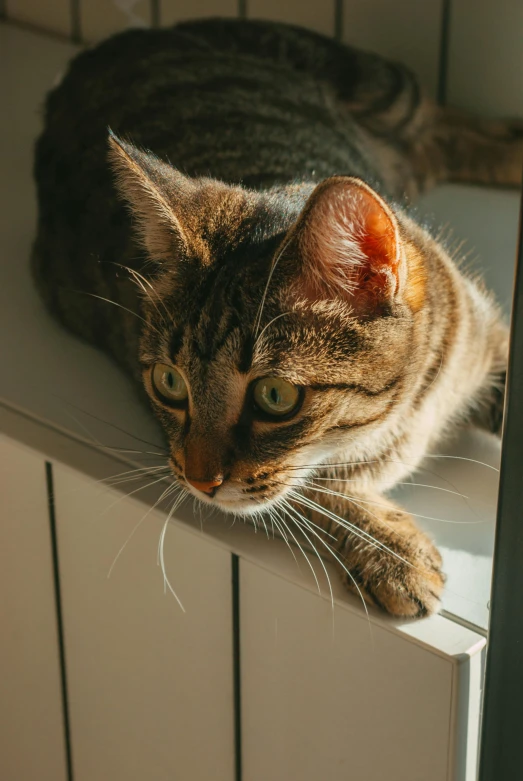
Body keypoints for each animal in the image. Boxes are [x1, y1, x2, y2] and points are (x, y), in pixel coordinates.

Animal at [32, 16, 520, 616]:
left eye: (275, 396)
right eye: (169, 383)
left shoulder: (491, 341)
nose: (199, 482)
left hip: (380, 85)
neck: (403, 418)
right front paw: (393, 552)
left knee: (445, 121)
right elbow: (314, 489)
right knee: (442, 139)